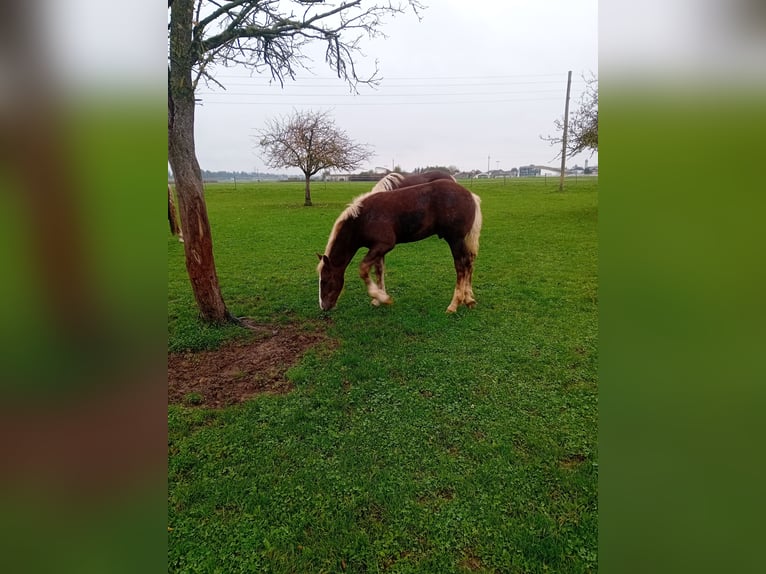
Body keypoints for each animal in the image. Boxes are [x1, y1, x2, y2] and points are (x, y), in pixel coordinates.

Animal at [316, 180, 484, 316]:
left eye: (325, 280)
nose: (324, 307)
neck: (363, 219)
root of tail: (471, 195)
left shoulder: (384, 245)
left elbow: (363, 269)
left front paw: (382, 297)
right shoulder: (377, 249)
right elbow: (379, 272)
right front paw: (378, 299)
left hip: (455, 240)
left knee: (461, 267)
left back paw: (454, 305)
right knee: (469, 263)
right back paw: (469, 299)